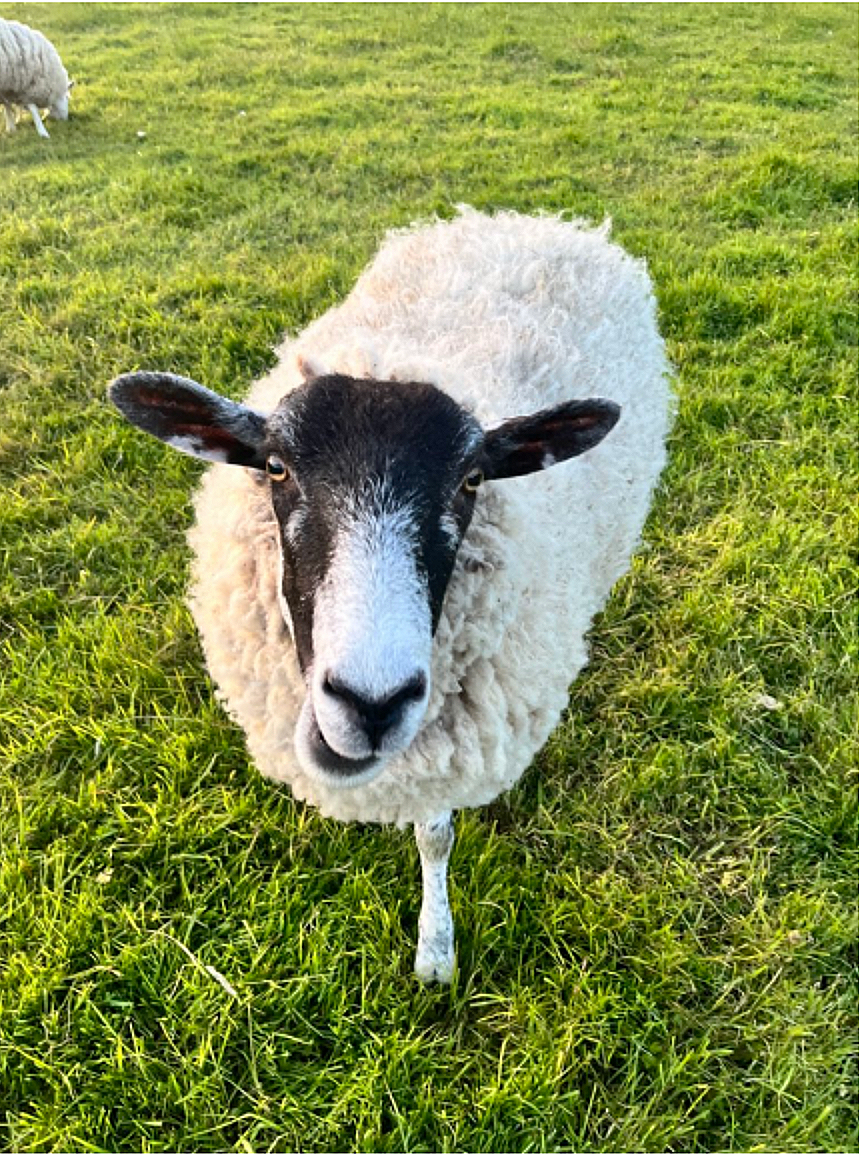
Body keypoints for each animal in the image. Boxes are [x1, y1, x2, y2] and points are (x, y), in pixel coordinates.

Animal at [109, 208, 672, 982]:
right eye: (275, 467)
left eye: (472, 479)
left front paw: (435, 950)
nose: (370, 702)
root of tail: (531, 219)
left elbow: (435, 838)